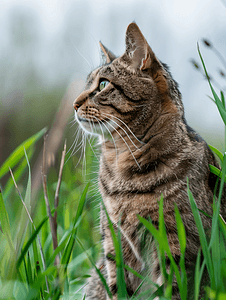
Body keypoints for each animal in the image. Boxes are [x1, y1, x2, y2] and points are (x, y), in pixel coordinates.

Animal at [73, 22, 225, 298]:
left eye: (102, 84)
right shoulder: (115, 239)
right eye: (88, 83)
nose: (74, 103)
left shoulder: (178, 242)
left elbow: (172, 288)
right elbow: (118, 287)